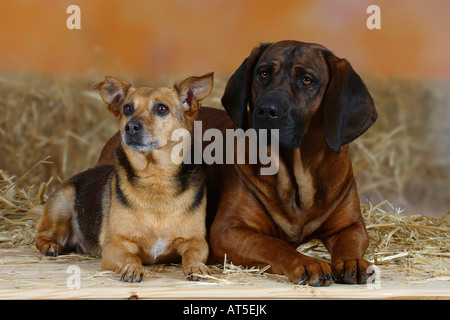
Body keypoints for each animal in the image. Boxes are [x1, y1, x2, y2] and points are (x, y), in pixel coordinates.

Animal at [34, 73, 214, 282]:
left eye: (162, 108)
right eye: (127, 109)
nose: (131, 127)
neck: (156, 178)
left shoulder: (197, 241)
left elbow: (192, 254)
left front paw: (196, 266)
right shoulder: (115, 245)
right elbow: (130, 256)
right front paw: (132, 268)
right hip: (62, 201)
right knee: (42, 234)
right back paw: (50, 245)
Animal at [98, 40, 376, 288]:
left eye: (307, 80)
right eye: (263, 73)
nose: (266, 110)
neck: (295, 176)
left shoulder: (352, 226)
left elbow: (350, 243)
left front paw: (353, 261)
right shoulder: (227, 231)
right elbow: (275, 244)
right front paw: (306, 262)